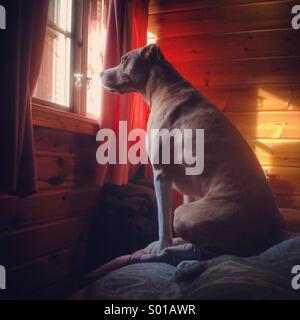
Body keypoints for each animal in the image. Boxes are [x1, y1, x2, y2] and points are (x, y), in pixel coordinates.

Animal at [99, 43, 284, 256]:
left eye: (123, 60)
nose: (100, 73)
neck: (163, 88)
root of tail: (275, 231)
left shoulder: (161, 176)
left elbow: (163, 221)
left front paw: (161, 248)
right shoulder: (187, 185)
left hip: (184, 215)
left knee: (209, 248)